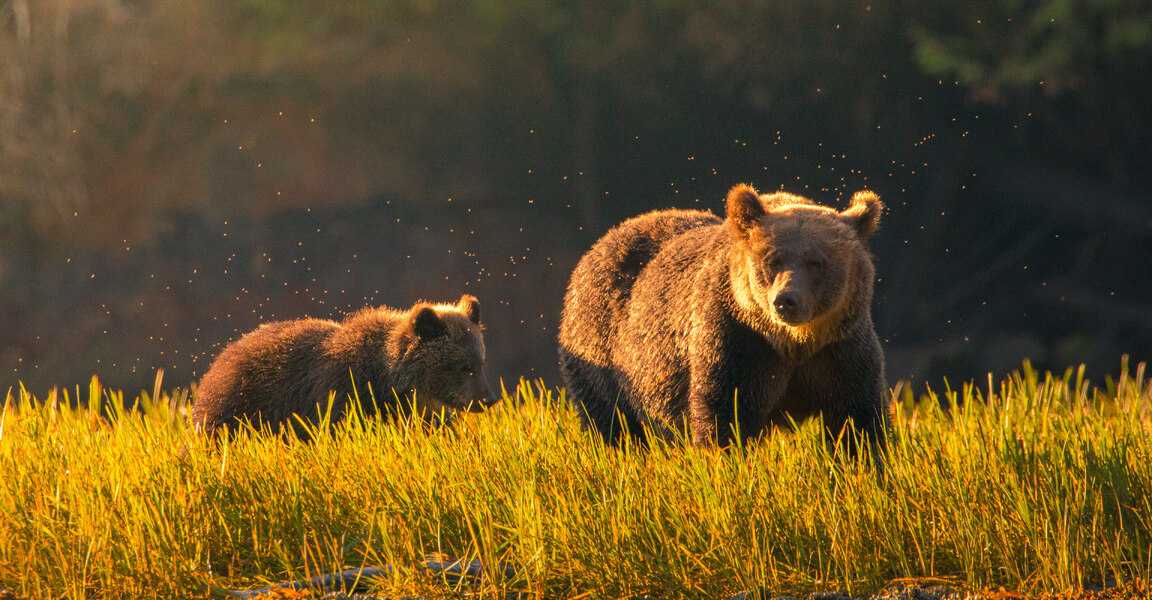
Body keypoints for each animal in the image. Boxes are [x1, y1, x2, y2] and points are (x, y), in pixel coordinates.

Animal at [190, 294, 497, 437]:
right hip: (240, 407)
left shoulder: (421, 412)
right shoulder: (345, 393)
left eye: (481, 362)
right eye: (462, 366)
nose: (489, 399)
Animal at [558, 183, 888, 450]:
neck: (794, 342)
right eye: (774, 259)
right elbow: (725, 413)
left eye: (816, 262)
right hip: (600, 346)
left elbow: (857, 417)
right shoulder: (737, 339)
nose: (786, 301)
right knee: (612, 425)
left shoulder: (840, 348)